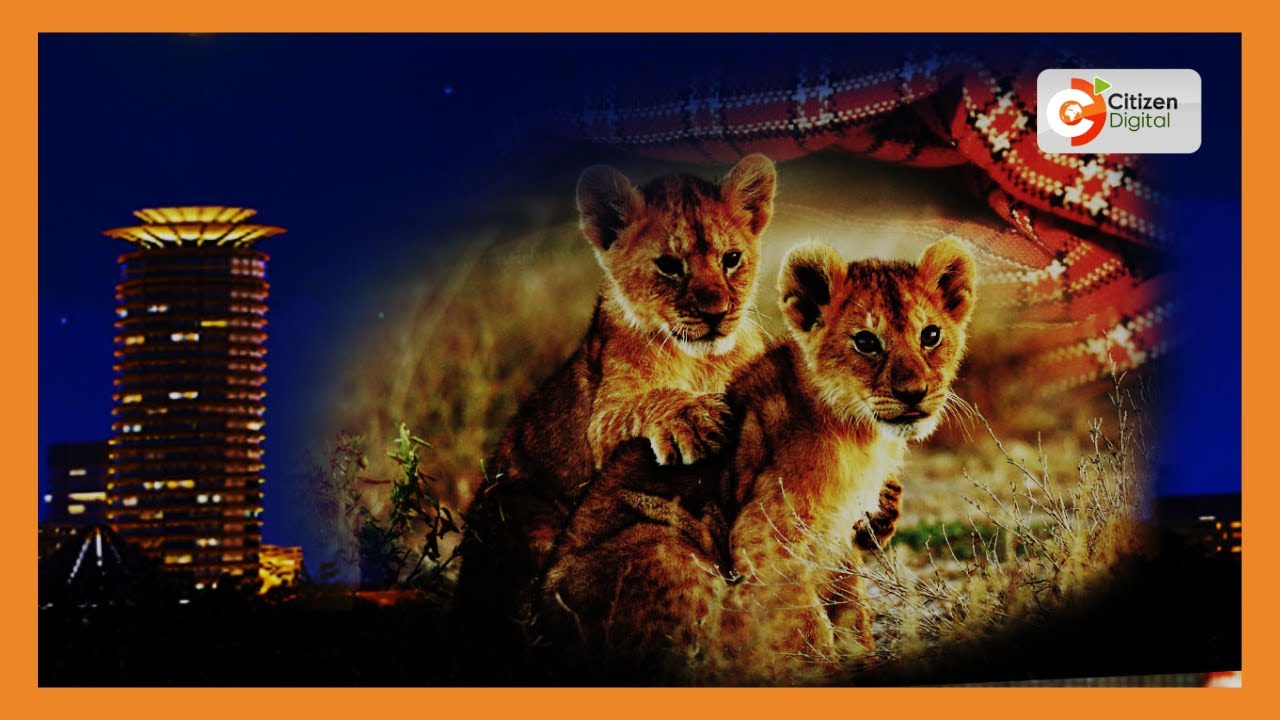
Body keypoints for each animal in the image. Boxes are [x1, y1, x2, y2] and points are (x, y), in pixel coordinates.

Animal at [538, 238, 976, 684]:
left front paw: (862, 657)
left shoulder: (836, 535)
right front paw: (823, 671)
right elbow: (807, 623)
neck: (861, 434)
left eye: (931, 335)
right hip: (663, 545)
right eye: (866, 342)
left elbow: (850, 603)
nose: (914, 393)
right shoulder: (765, 537)